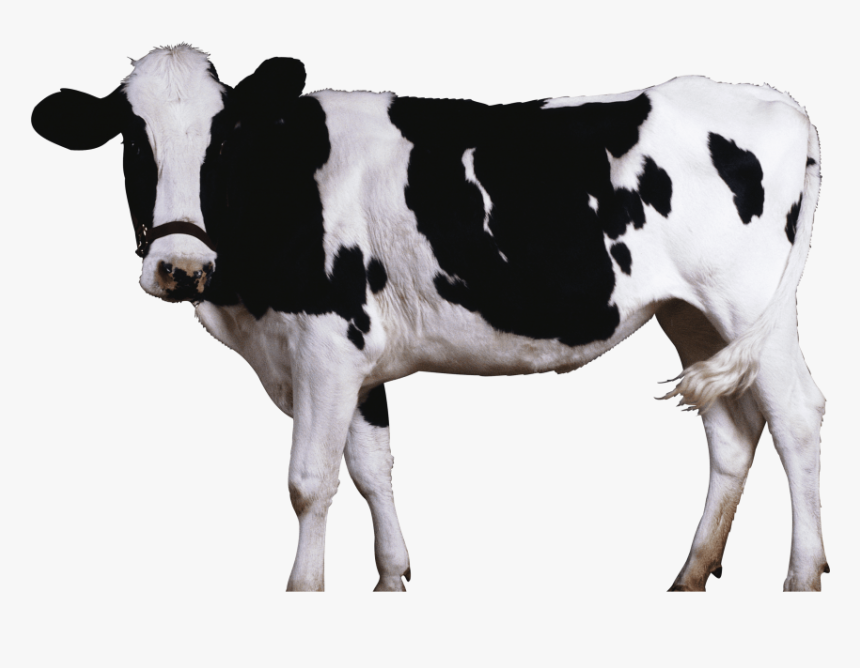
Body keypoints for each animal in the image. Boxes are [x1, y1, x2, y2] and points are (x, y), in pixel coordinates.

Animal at [32, 44, 828, 592]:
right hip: (691, 314)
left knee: (796, 417)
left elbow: (310, 480)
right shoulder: (354, 358)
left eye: (224, 137)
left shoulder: (326, 344)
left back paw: (802, 574)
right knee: (732, 431)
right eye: (132, 140)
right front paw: (391, 578)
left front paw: (304, 589)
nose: (180, 267)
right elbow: (371, 467)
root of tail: (775, 100)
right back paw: (690, 574)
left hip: (748, 302)